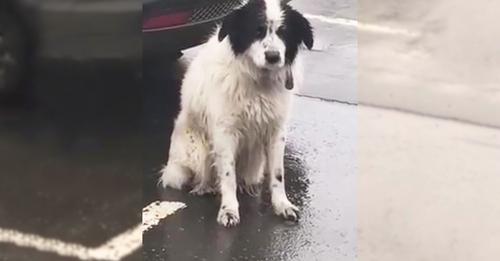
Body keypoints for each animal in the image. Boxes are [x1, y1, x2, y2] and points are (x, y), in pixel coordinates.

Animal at [160, 0, 312, 225]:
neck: (259, 82)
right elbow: (227, 175)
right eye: (257, 30)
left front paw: (282, 205)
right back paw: (204, 187)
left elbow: (277, 174)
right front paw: (229, 210)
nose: (273, 57)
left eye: (284, 32)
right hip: (195, 152)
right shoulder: (225, 133)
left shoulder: (276, 131)